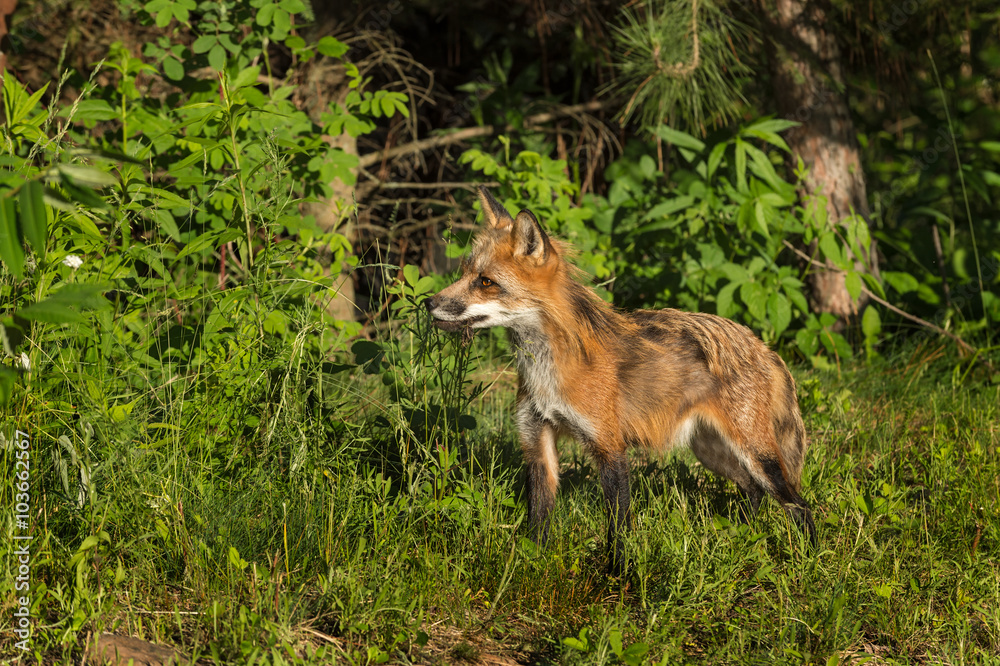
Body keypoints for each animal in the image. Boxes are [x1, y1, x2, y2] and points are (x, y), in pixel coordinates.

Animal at [426, 187, 816, 572]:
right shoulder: (537, 442)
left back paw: (809, 558)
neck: (547, 375)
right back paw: (744, 536)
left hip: (755, 454)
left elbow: (618, 525)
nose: (429, 302)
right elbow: (539, 519)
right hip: (713, 452)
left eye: (486, 282)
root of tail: (762, 345)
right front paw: (530, 562)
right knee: (755, 491)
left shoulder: (610, 447)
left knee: (799, 504)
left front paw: (617, 573)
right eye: (463, 272)